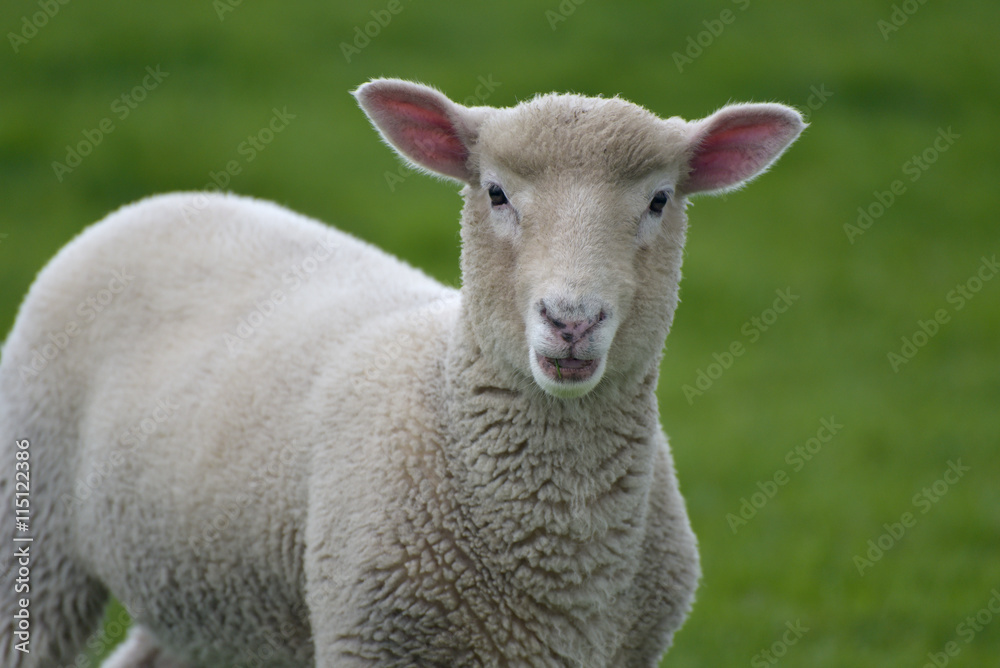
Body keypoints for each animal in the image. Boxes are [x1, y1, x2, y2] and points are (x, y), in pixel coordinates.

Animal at [0, 79, 800, 668]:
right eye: (496, 193)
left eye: (660, 199)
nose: (571, 319)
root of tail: (169, 199)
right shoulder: (369, 637)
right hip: (37, 533)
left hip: (205, 592)